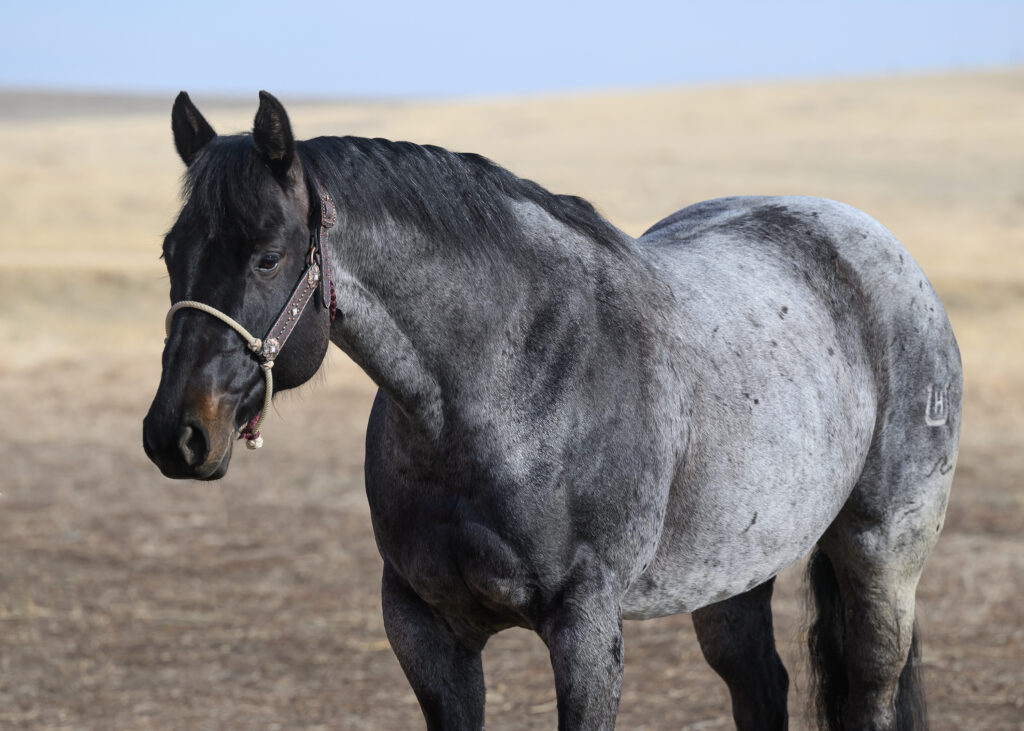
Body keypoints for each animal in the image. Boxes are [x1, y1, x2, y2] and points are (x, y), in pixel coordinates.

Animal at [143, 91, 961, 730]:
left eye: (268, 256)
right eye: (170, 252)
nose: (174, 435)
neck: (500, 387)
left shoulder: (584, 628)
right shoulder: (425, 630)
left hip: (882, 555)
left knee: (872, 688)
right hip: (733, 578)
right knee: (760, 689)